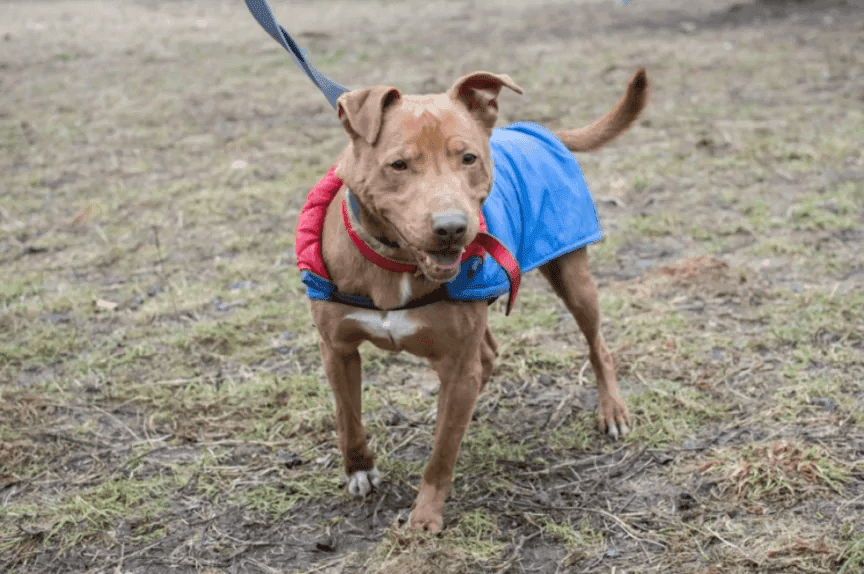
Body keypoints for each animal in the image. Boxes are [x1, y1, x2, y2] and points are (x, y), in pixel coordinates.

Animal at [296, 68, 648, 536]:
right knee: (488, 355)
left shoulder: (456, 365)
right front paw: (359, 469)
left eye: (468, 159)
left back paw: (612, 409)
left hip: (573, 278)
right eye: (398, 165)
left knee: (596, 345)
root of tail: (533, 130)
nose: (451, 228)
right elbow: (347, 416)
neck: (396, 264)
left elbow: (442, 452)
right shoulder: (337, 349)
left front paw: (425, 517)